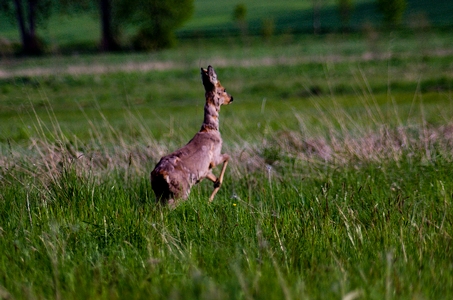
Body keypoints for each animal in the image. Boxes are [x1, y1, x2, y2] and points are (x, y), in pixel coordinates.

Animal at [152, 65, 233, 206]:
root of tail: (159, 173)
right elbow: (227, 157)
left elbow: (215, 179)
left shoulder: (205, 170)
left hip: (160, 194)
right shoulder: (214, 157)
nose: (231, 98)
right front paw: (210, 199)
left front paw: (210, 198)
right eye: (223, 89)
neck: (210, 129)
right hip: (180, 191)